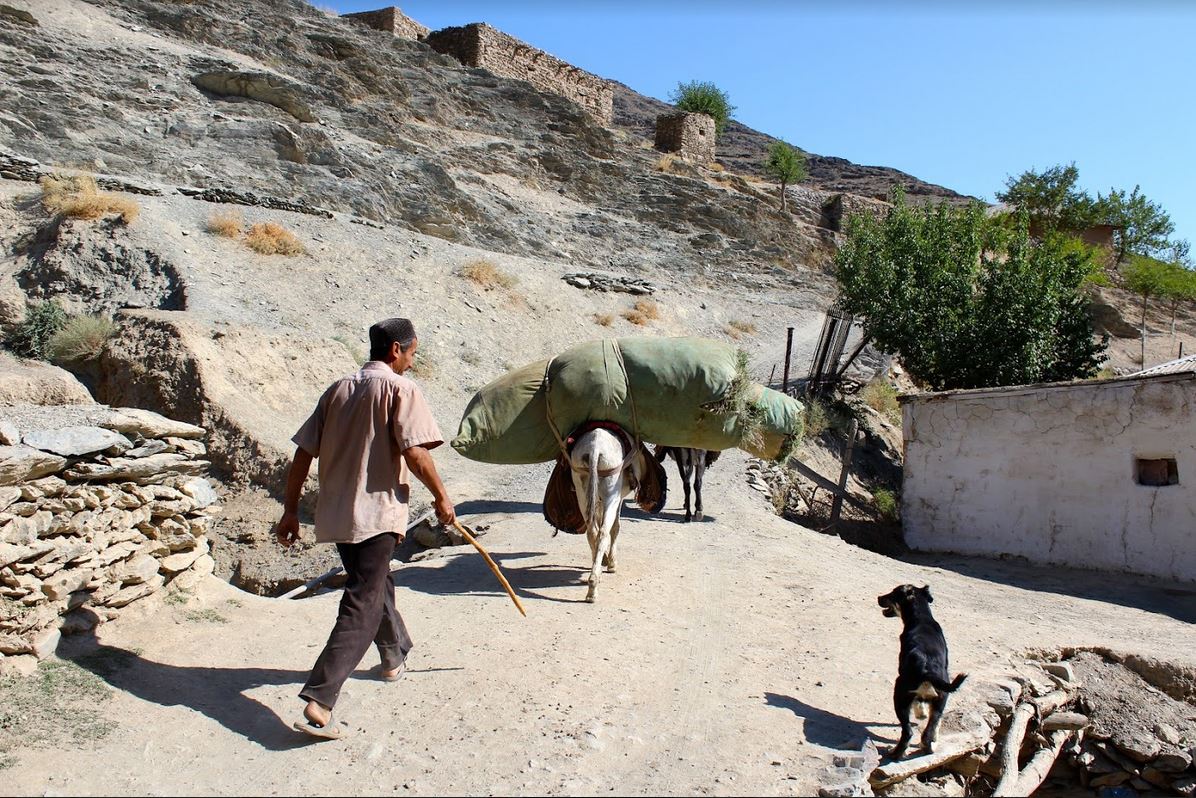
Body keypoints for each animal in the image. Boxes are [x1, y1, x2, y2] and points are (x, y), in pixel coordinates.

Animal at [875, 583, 966, 760]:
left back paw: (895, 753)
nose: (878, 597)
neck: (922, 617)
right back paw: (929, 746)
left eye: (892, 594)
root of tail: (926, 667)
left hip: (899, 693)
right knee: (930, 730)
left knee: (908, 732)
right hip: (942, 698)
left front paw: (920, 713)